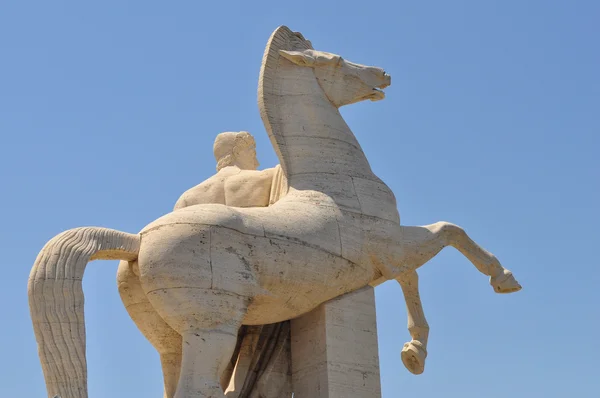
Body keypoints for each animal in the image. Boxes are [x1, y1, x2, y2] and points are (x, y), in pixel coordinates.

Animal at [27, 25, 520, 398]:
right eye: (336, 60)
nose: (383, 74)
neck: (333, 177)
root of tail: (137, 240)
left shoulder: (382, 262)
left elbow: (421, 266)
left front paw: (416, 351)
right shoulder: (394, 248)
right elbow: (447, 235)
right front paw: (500, 282)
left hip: (170, 341)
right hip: (214, 328)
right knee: (197, 389)